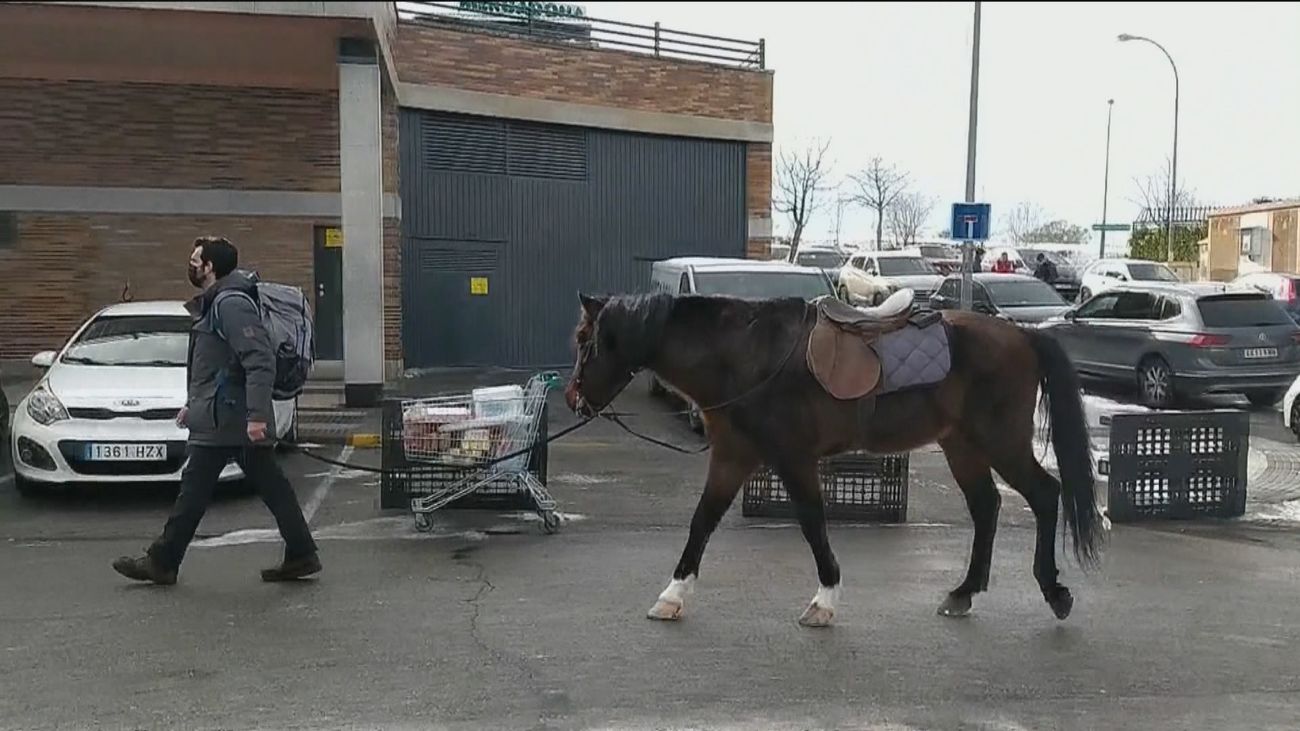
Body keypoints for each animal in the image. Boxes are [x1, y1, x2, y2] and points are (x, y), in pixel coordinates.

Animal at [563, 290, 1105, 627]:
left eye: (584, 341)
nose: (572, 400)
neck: (747, 356)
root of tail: (1022, 334)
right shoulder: (734, 456)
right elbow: (703, 520)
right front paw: (672, 596)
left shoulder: (793, 458)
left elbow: (811, 521)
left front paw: (824, 600)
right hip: (963, 446)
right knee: (987, 507)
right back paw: (963, 592)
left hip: (1000, 441)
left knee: (1044, 494)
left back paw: (1054, 591)